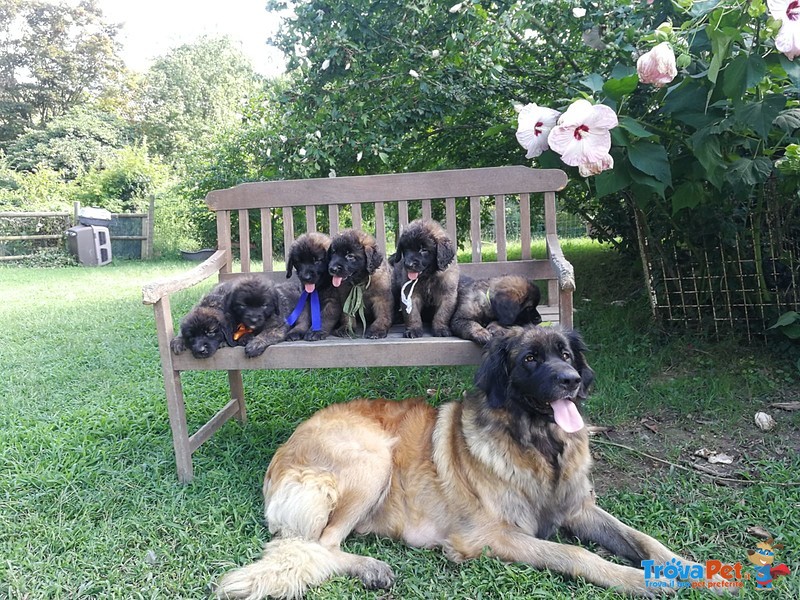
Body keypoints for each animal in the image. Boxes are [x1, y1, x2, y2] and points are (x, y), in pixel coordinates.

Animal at [214, 326, 708, 596]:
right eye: (530, 359)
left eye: (566, 355)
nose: (570, 380)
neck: (537, 446)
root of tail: (280, 456)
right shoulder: (495, 535)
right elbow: (574, 553)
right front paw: (638, 581)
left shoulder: (579, 509)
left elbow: (640, 537)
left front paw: (686, 567)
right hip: (374, 460)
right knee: (319, 545)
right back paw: (371, 568)